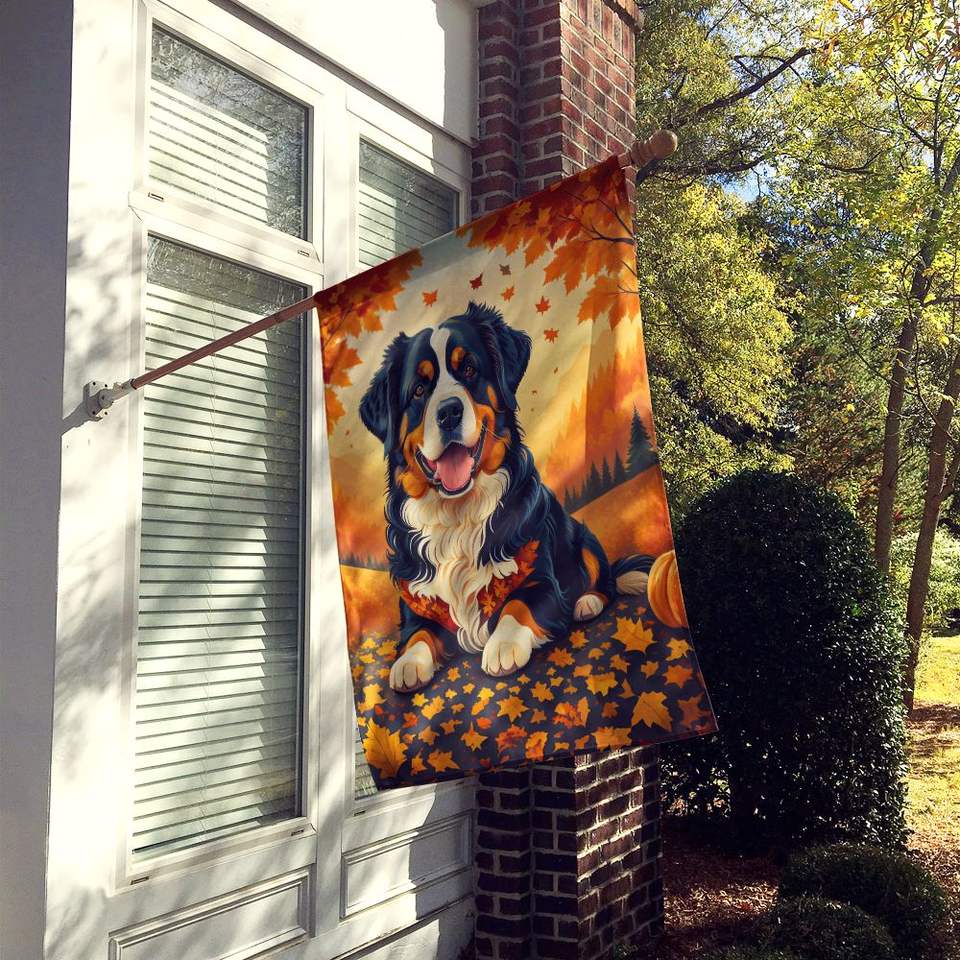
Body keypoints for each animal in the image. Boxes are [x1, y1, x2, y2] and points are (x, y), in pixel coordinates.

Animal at [359, 301, 651, 692]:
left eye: (469, 369)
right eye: (419, 390)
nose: (448, 411)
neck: (457, 514)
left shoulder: (541, 579)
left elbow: (518, 604)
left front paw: (504, 645)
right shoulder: (415, 597)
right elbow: (416, 633)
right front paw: (408, 663)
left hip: (581, 534)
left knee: (603, 580)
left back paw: (587, 602)